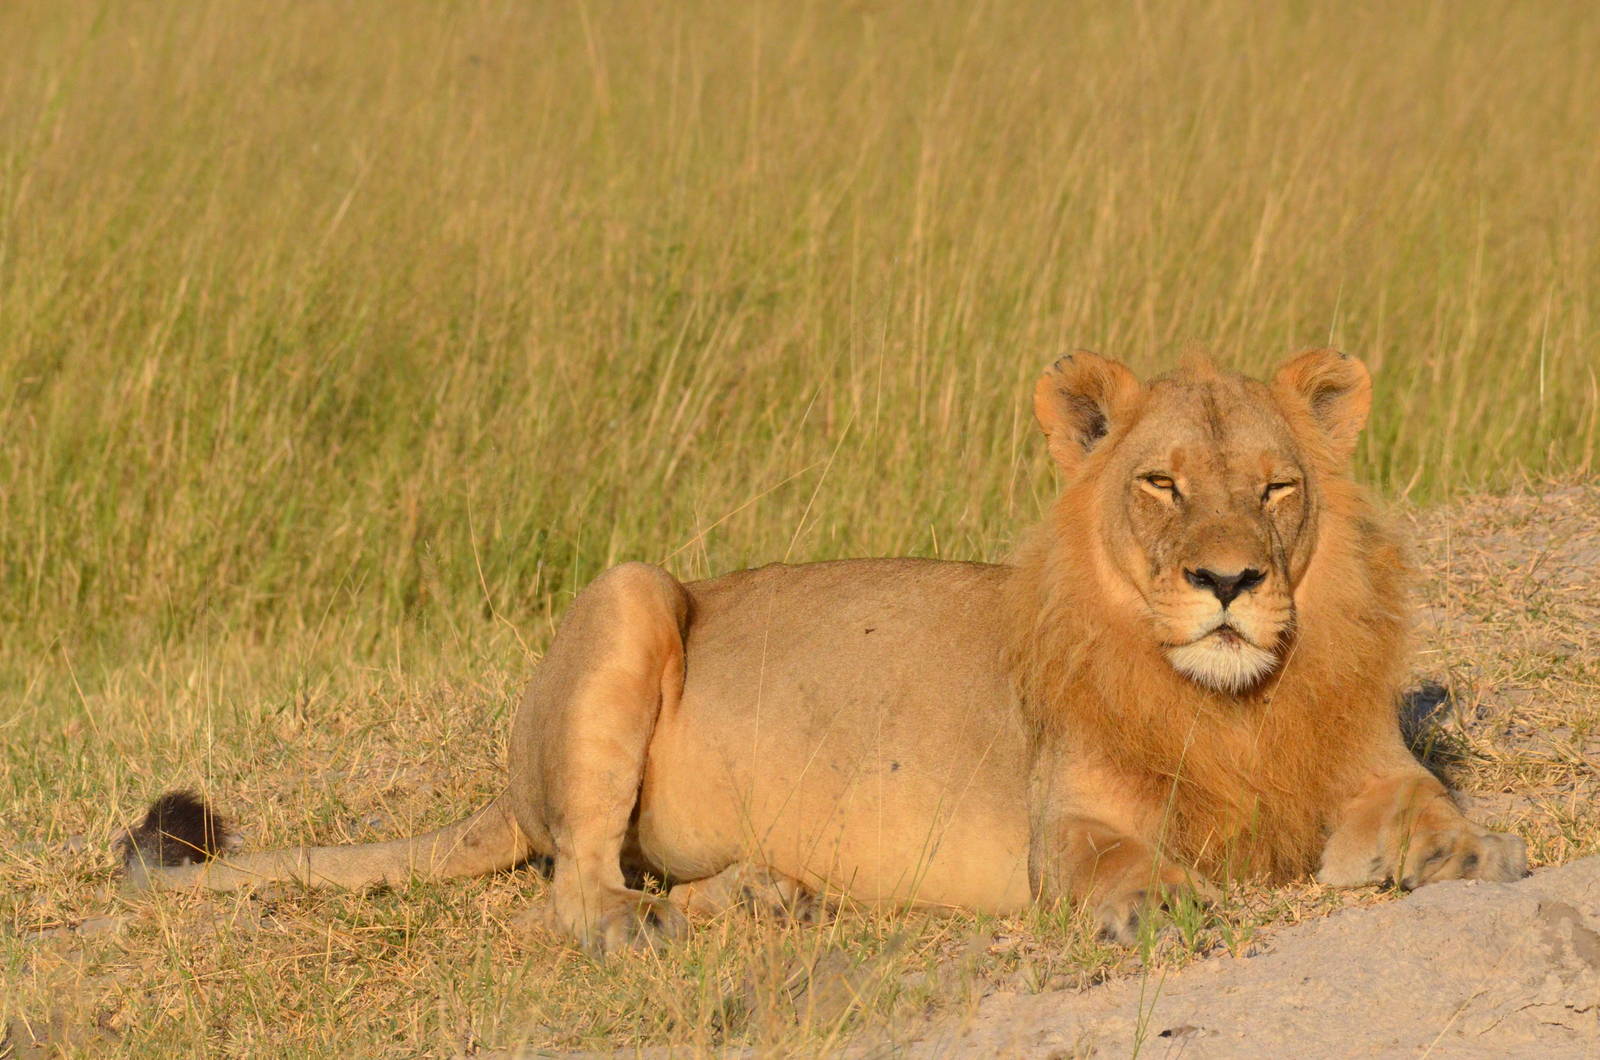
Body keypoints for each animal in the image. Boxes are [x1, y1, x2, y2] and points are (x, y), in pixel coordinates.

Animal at [120, 350, 1527, 952]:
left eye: (1277, 488)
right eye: (1161, 484)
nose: (1229, 581)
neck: (1230, 704)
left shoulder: (1365, 768)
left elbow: (1425, 803)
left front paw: (1469, 852)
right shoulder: (1061, 821)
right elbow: (1115, 856)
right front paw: (1161, 899)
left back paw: (765, 893)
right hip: (632, 591)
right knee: (573, 884)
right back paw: (653, 926)